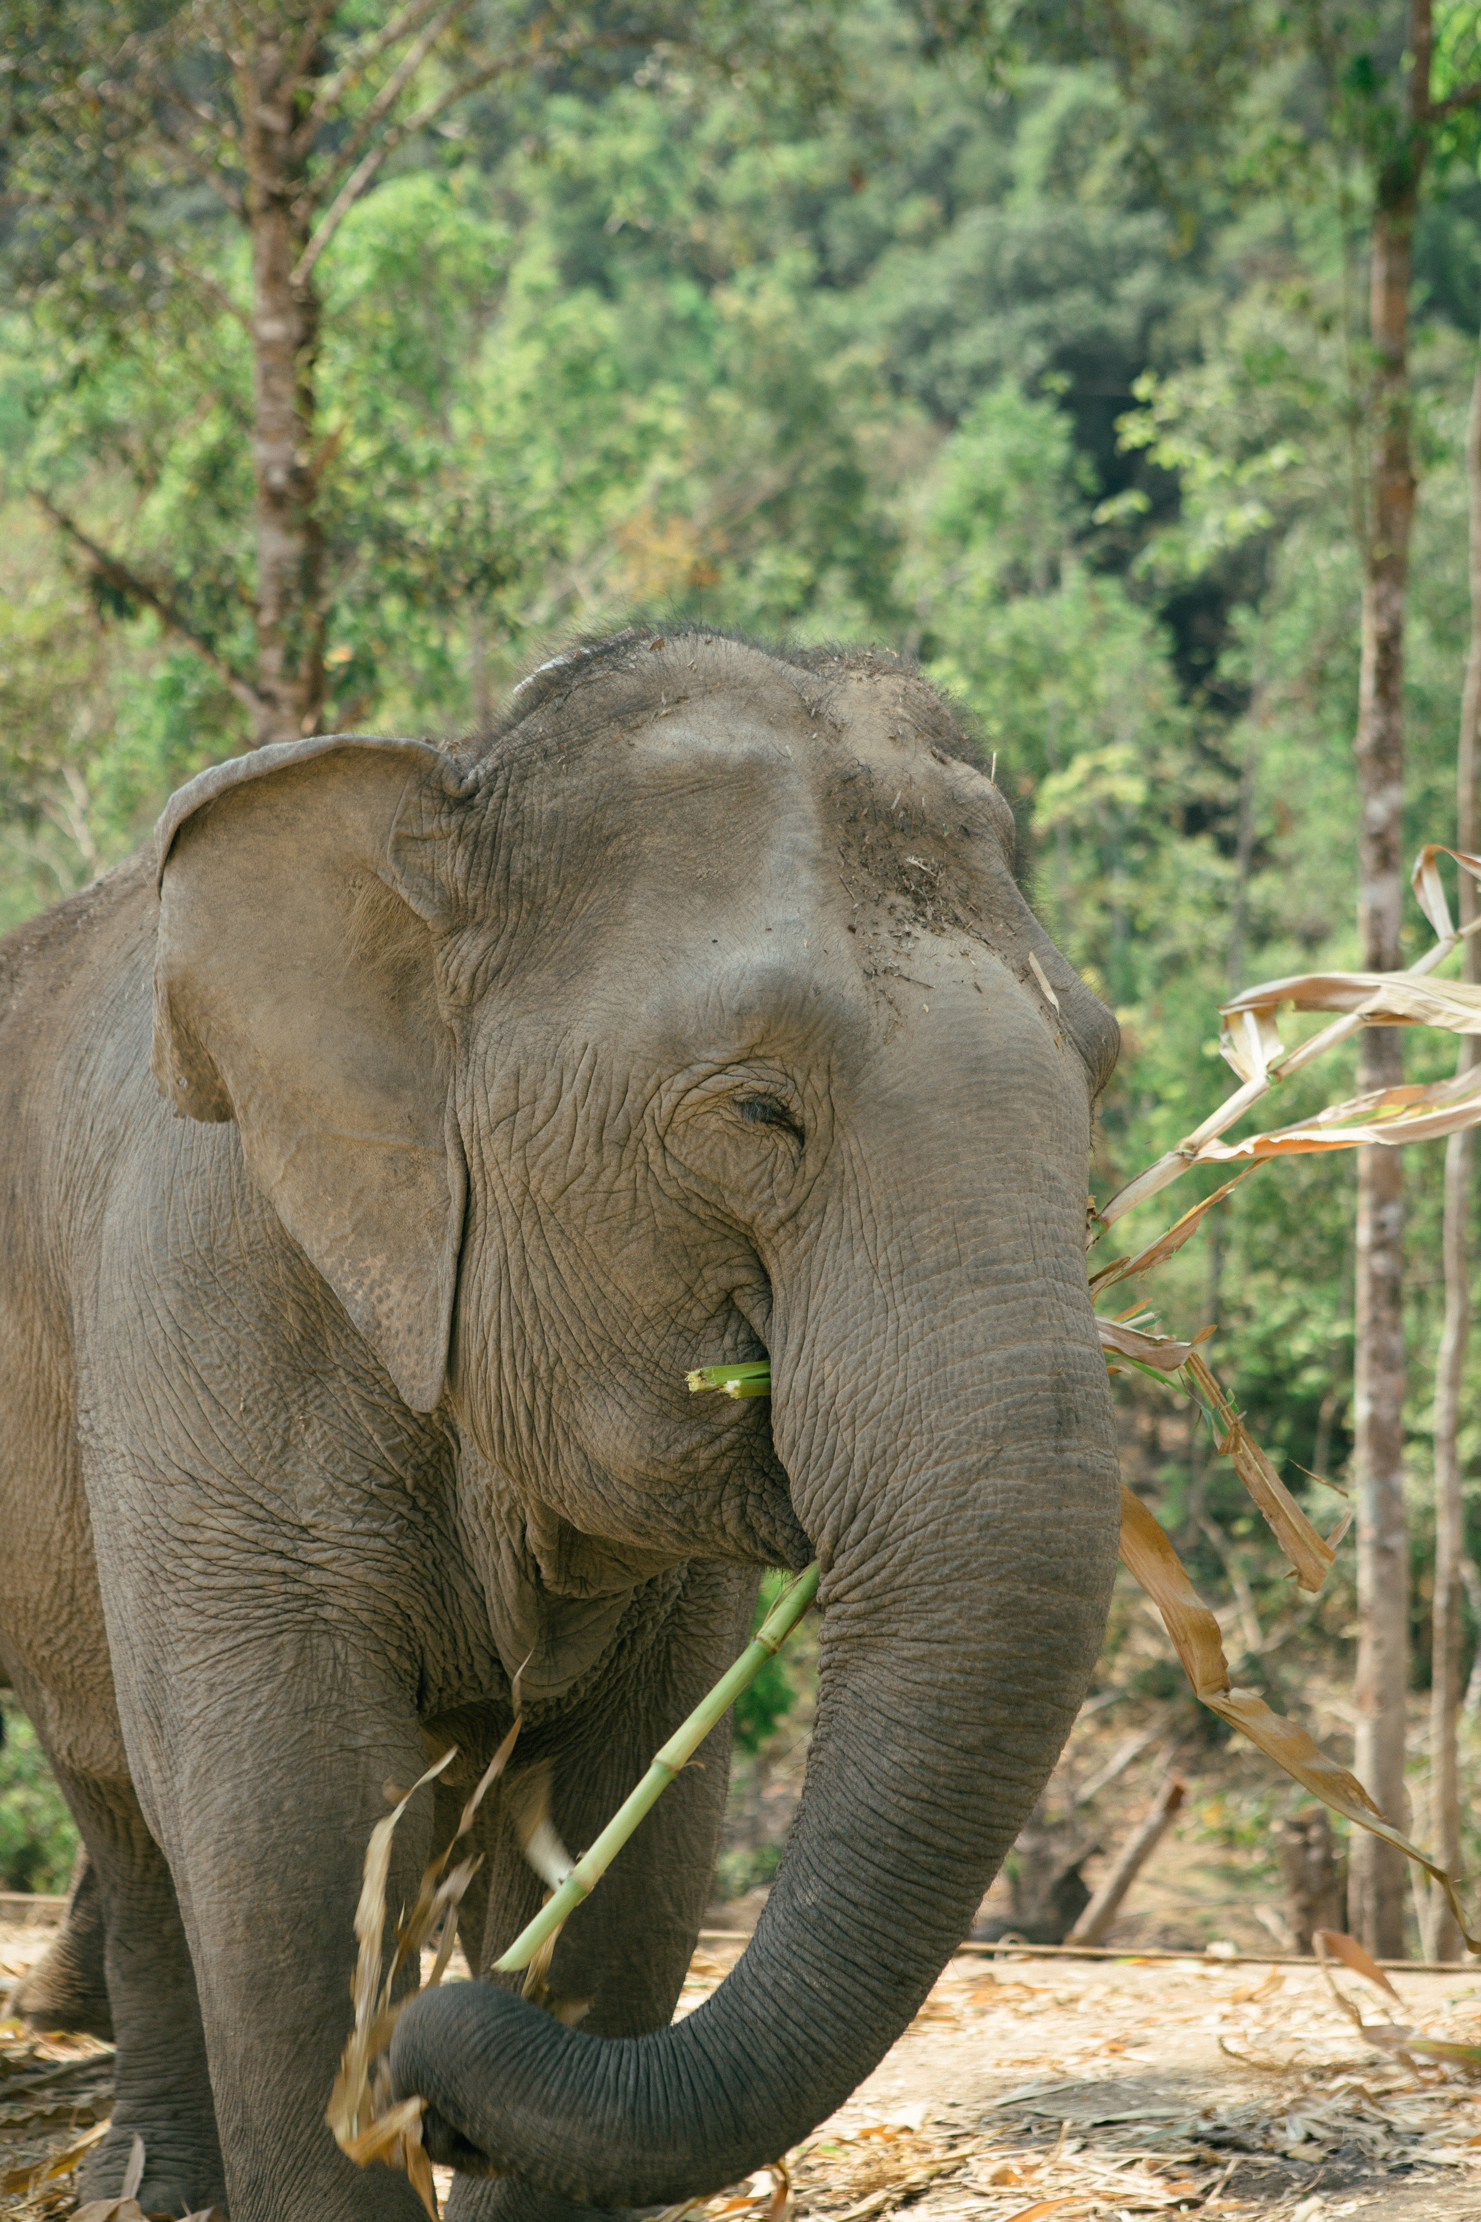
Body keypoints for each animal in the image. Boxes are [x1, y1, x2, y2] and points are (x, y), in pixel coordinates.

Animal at [0, 630, 1121, 2221]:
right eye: (758, 1110)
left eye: (1098, 1067)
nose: (431, 2093)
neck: (448, 790)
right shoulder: (201, 1308)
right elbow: (291, 1838)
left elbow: (627, 1841)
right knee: (121, 1799)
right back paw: (146, 2186)